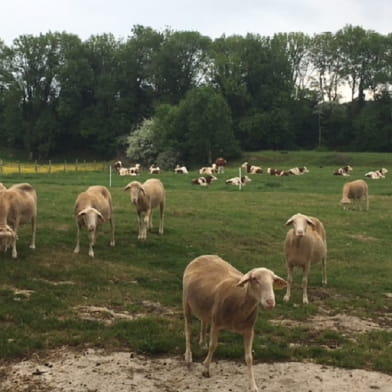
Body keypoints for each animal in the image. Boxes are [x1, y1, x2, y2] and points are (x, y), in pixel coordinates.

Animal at [182, 254, 286, 392]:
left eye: (273, 280)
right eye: (254, 279)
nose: (270, 302)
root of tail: (204, 256)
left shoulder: (249, 330)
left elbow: (249, 357)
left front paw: (253, 385)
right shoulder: (216, 323)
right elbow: (213, 346)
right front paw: (205, 369)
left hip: (205, 305)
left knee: (203, 321)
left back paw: (202, 343)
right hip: (186, 302)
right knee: (188, 328)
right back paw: (188, 356)